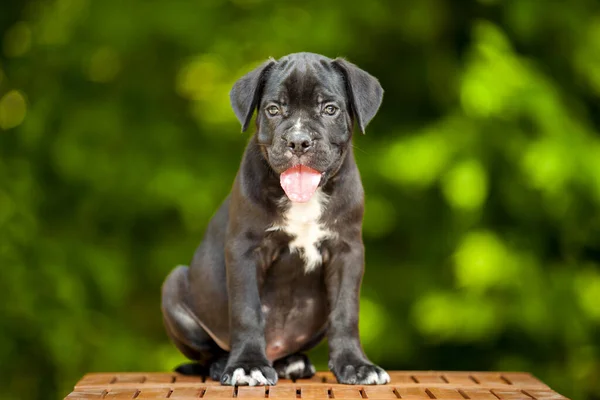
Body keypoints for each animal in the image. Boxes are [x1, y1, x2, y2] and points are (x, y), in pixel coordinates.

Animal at [163, 51, 390, 386]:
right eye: (273, 109)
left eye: (330, 109)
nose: (298, 141)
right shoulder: (245, 251)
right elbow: (247, 310)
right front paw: (247, 365)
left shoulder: (346, 252)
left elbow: (346, 311)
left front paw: (355, 364)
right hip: (174, 284)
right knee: (207, 353)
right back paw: (225, 364)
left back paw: (291, 363)